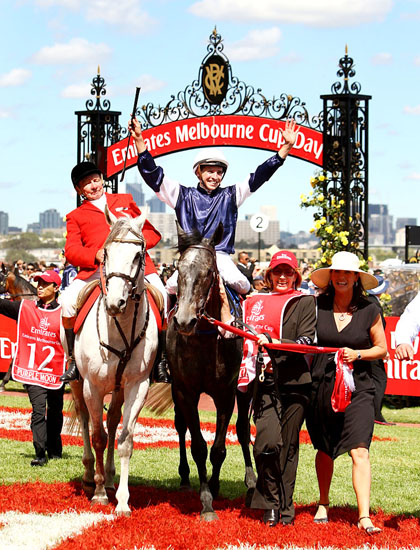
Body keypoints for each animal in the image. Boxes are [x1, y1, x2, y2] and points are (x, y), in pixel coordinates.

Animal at [69, 211, 158, 516]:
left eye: (138, 255)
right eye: (105, 253)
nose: (114, 303)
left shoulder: (137, 386)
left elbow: (124, 439)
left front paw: (122, 500)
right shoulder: (92, 387)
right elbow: (97, 435)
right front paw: (98, 494)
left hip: (118, 389)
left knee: (113, 420)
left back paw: (108, 477)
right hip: (77, 385)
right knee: (86, 420)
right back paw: (90, 476)